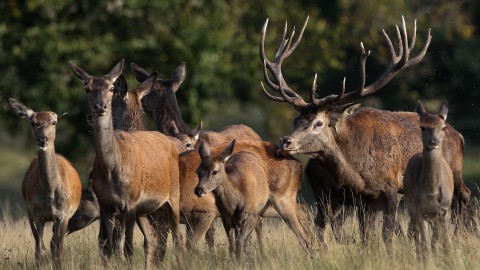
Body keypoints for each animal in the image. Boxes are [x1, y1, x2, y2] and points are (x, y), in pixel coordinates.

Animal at [9, 98, 81, 268]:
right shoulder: (37, 215)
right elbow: (39, 250)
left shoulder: (64, 214)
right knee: (40, 243)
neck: (50, 195)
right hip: (29, 211)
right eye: (33, 122)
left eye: (53, 122)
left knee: (53, 245)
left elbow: (58, 249)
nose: (42, 139)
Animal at [70, 60, 183, 268]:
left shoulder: (130, 203)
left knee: (177, 239)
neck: (110, 169)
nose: (99, 107)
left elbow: (128, 248)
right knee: (152, 240)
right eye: (87, 89)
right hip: (145, 211)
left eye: (111, 88)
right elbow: (107, 247)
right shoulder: (106, 206)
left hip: (173, 197)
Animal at [404, 100, 454, 260]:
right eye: (422, 127)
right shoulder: (419, 210)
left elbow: (436, 243)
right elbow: (426, 244)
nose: (434, 141)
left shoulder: (443, 209)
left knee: (443, 239)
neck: (431, 192)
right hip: (411, 206)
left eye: (443, 127)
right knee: (417, 238)